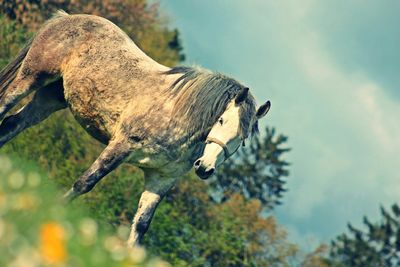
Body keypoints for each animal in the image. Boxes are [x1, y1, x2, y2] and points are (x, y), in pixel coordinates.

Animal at [0, 11, 270, 248]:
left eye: (242, 141)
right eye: (222, 120)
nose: (205, 168)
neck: (178, 117)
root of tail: (66, 17)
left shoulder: (161, 179)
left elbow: (141, 226)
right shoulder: (120, 147)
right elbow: (84, 183)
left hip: (51, 98)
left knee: (11, 125)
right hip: (31, 78)